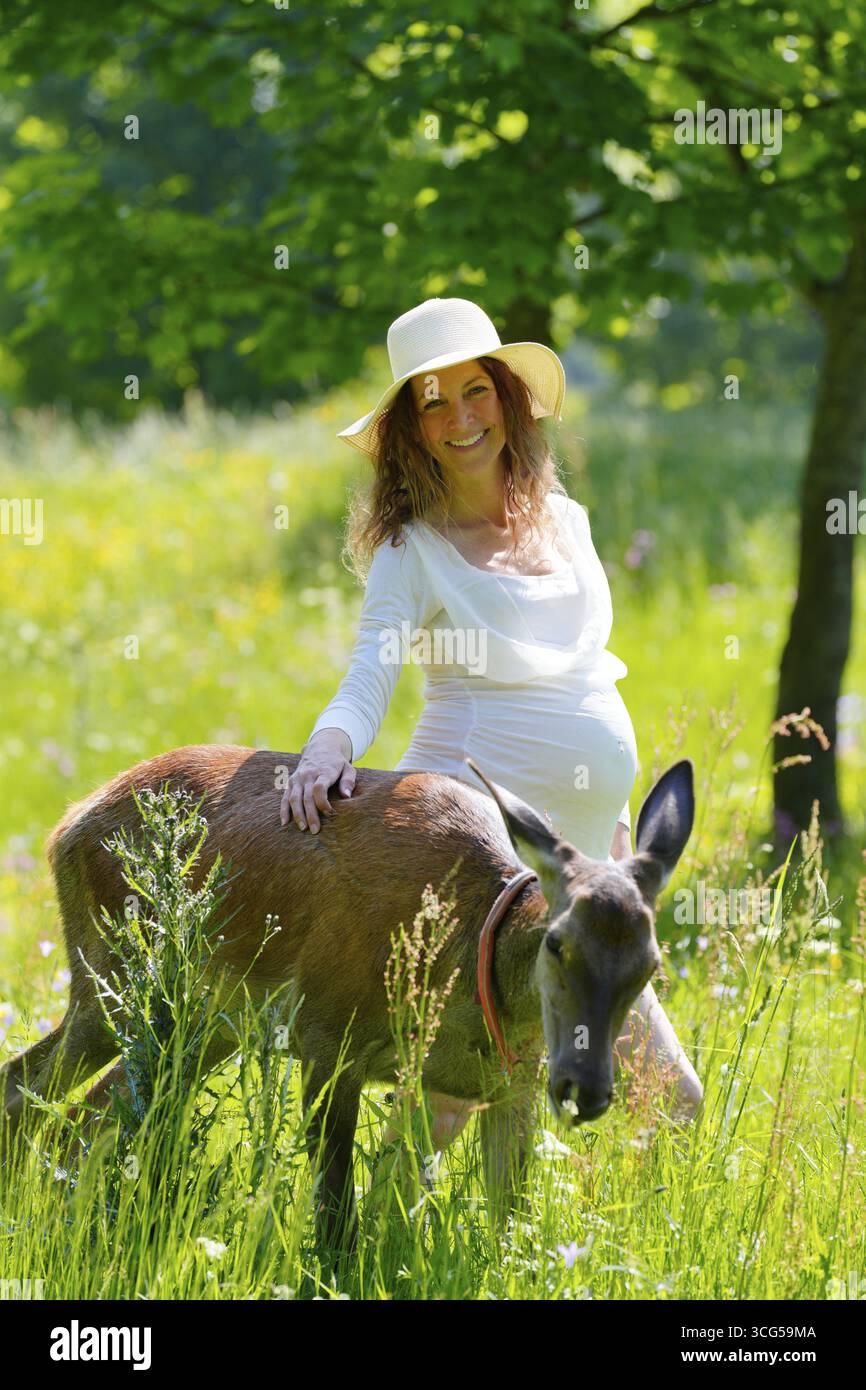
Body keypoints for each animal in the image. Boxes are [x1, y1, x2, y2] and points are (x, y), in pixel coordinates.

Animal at [0, 745, 695, 1254]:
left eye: (651, 965)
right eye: (556, 943)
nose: (586, 1088)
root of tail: (65, 825)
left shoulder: (507, 1085)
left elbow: (509, 1226)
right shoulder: (325, 1033)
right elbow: (337, 1218)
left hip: (200, 1024)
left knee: (81, 1114)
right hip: (116, 980)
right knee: (36, 1094)